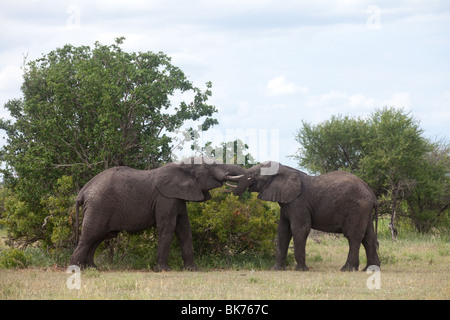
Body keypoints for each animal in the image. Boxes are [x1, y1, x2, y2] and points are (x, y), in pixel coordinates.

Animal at [69, 156, 246, 272]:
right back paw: (76, 270)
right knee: (91, 235)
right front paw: (162, 269)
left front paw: (192, 269)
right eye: (210, 167)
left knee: (98, 237)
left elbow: (184, 229)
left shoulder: (178, 198)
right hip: (98, 206)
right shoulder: (165, 198)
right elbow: (168, 227)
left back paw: (92, 268)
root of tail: (82, 192)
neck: (182, 166)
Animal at [229, 161, 380, 272]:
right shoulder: (286, 203)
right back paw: (370, 269)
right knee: (368, 237)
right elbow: (283, 231)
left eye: (255, 174)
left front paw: (301, 270)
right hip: (365, 211)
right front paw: (276, 269)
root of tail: (373, 196)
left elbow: (299, 229)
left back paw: (347, 269)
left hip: (357, 209)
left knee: (353, 236)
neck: (284, 169)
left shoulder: (299, 203)